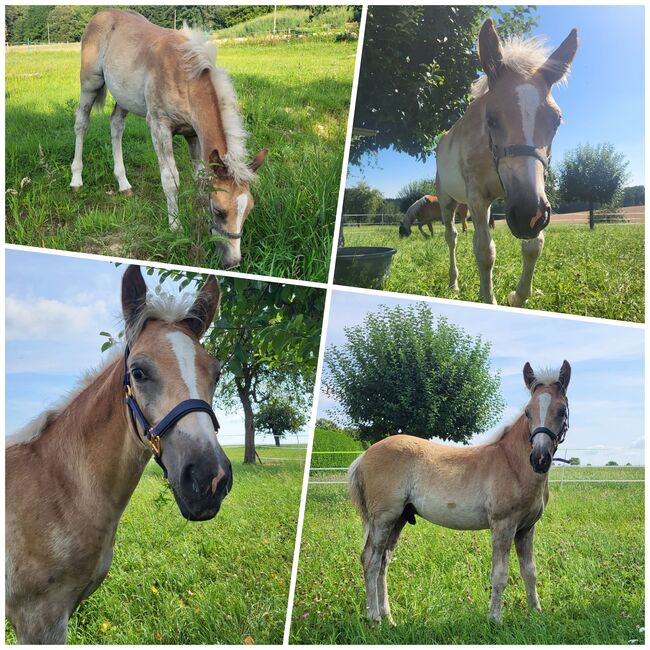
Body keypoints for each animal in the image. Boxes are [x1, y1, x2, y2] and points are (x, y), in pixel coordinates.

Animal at [73, 8, 268, 266]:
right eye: (219, 210)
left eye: (248, 210)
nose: (232, 262)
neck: (183, 75)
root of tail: (101, 14)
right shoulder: (159, 126)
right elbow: (171, 179)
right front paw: (175, 227)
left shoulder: (193, 134)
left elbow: (199, 178)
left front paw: (197, 220)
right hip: (90, 82)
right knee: (81, 122)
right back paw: (76, 179)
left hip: (124, 97)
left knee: (116, 125)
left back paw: (124, 184)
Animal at [350, 360, 568, 624]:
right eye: (528, 412)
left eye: (562, 410)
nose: (539, 458)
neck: (512, 463)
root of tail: (364, 455)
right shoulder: (503, 525)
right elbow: (500, 574)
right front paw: (495, 620)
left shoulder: (526, 528)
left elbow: (530, 571)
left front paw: (536, 613)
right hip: (383, 518)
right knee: (370, 560)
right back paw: (375, 620)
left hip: (399, 519)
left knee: (383, 561)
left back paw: (389, 618)